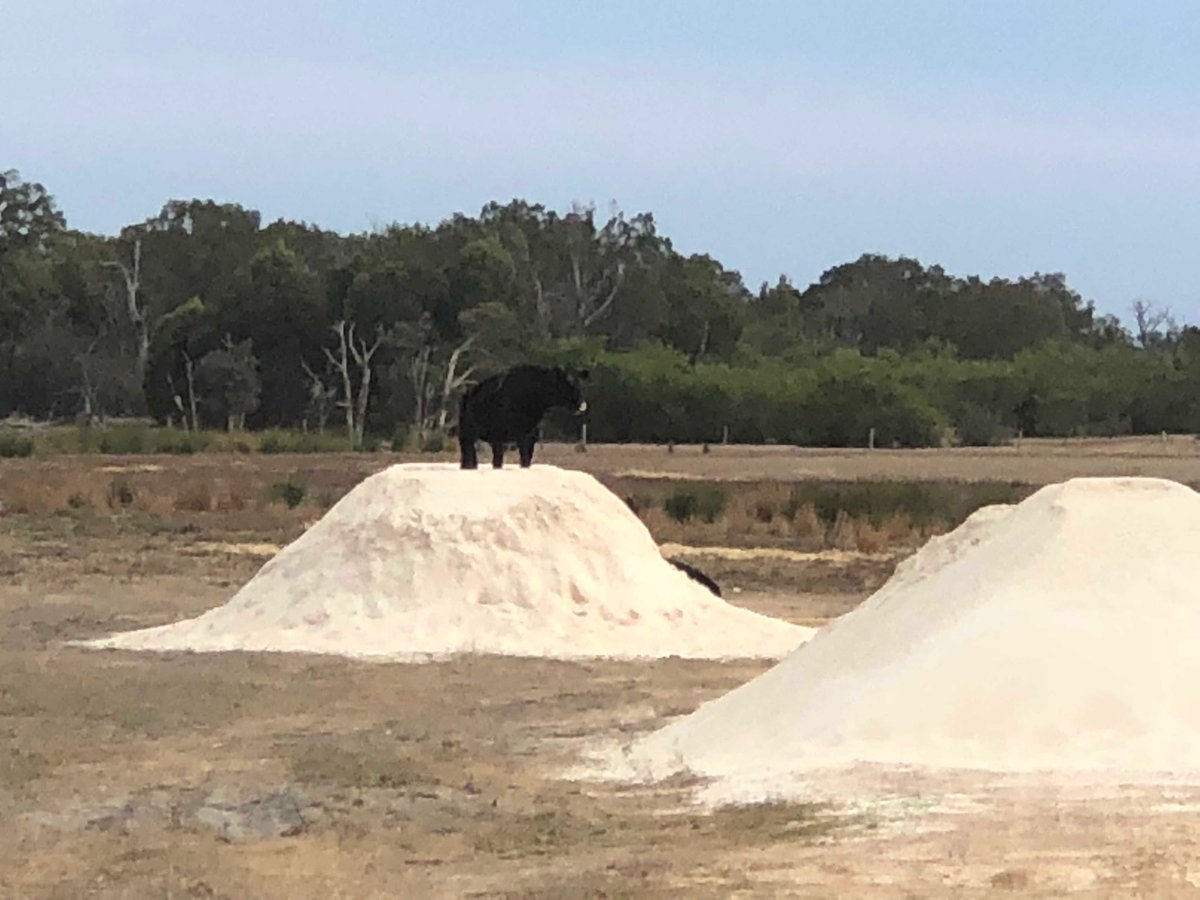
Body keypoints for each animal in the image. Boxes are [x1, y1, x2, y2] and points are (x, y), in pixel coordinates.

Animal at [458, 365, 588, 469]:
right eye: (570, 383)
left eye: (581, 383)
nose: (581, 404)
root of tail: (468, 393)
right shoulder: (503, 435)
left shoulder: (530, 436)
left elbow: (526, 460)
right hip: (467, 434)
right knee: (470, 456)